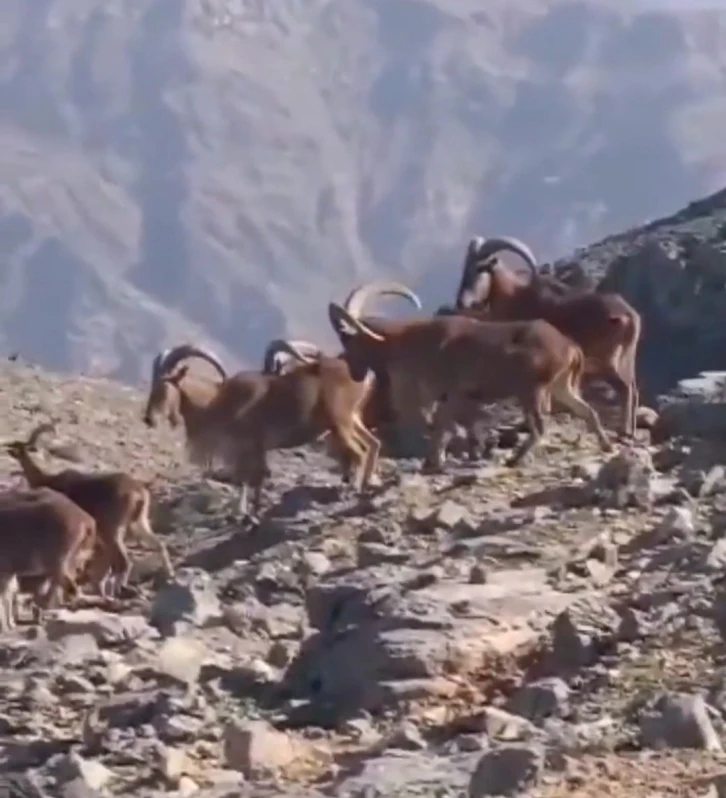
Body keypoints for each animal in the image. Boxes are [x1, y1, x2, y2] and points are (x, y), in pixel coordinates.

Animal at [4, 424, 172, 600]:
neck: (47, 479)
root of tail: (138, 491)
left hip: (113, 529)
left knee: (124, 561)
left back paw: (116, 589)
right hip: (138, 523)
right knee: (159, 545)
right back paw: (168, 575)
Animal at [456, 234, 644, 440]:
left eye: (480, 268)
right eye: (465, 267)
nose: (462, 302)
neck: (514, 297)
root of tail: (629, 315)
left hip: (607, 361)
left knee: (625, 388)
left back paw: (624, 431)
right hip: (627, 359)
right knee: (633, 389)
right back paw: (632, 430)